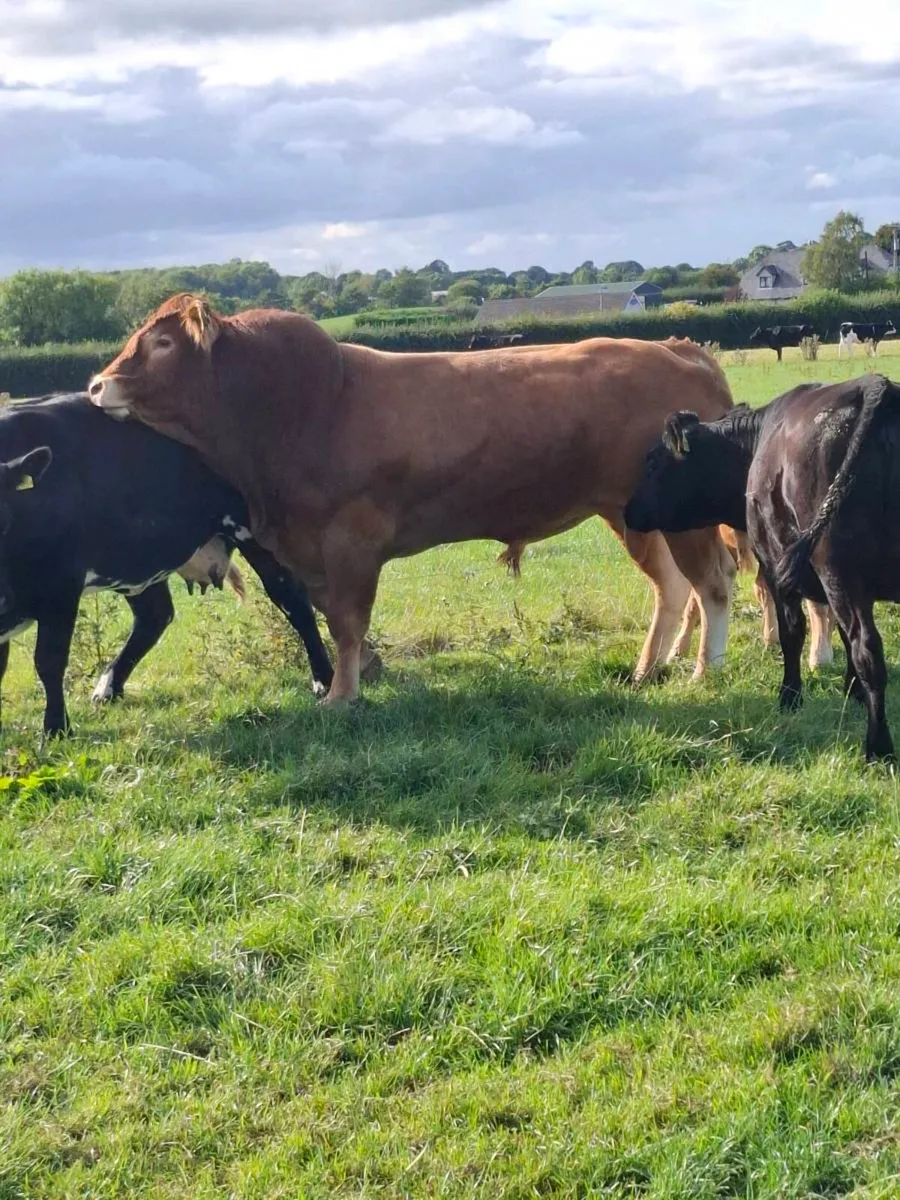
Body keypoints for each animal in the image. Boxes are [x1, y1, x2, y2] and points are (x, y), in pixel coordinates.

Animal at [0, 393, 332, 738]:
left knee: (293, 601)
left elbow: (49, 661)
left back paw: (324, 681)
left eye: (5, 523)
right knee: (155, 616)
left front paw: (55, 729)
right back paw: (108, 688)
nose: (2, 598)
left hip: (255, 532)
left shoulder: (62, 586)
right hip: (137, 559)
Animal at [88, 296, 753, 707]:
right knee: (673, 587)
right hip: (632, 514)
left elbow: (348, 625)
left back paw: (703, 671)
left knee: (712, 584)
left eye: (163, 341)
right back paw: (647, 669)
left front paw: (342, 695)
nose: (96, 385)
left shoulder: (351, 544)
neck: (303, 407)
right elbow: (329, 619)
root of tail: (677, 348)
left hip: (682, 519)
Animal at [624, 375, 900, 761]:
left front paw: (789, 697)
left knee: (868, 651)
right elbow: (841, 638)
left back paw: (878, 748)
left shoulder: (776, 568)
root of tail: (875, 386)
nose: (628, 510)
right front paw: (852, 691)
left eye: (652, 464)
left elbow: (793, 633)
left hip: (839, 573)